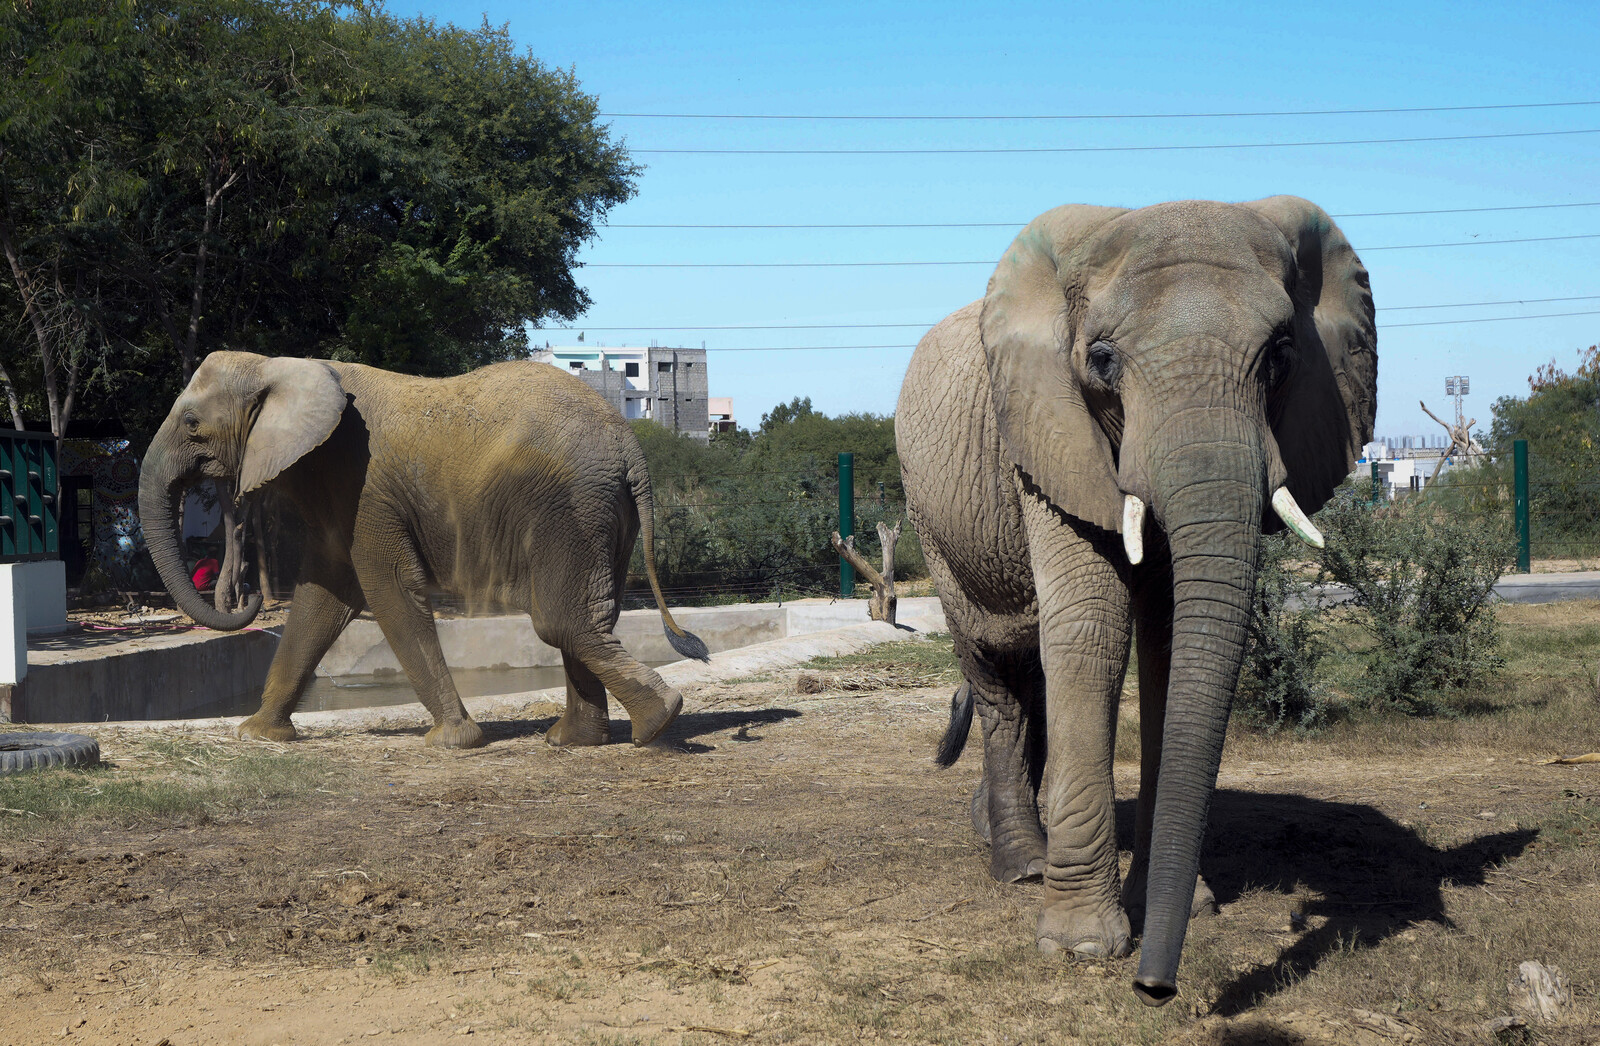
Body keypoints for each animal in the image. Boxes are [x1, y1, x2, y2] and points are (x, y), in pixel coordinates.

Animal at [139, 352, 709, 749]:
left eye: (192, 424)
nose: (247, 595)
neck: (278, 363)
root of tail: (631, 448)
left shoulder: (366, 487)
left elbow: (387, 587)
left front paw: (453, 742)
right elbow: (323, 598)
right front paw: (257, 735)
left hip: (570, 505)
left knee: (561, 620)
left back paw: (657, 722)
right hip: (602, 512)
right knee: (584, 617)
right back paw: (576, 740)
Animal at [897, 197, 1375, 1005]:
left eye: (1282, 353)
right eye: (1102, 361)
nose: (1156, 988)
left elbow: (1170, 635)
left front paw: (1187, 907)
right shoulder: (1049, 434)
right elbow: (1092, 626)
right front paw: (1082, 947)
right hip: (933, 522)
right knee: (997, 671)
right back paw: (1020, 864)